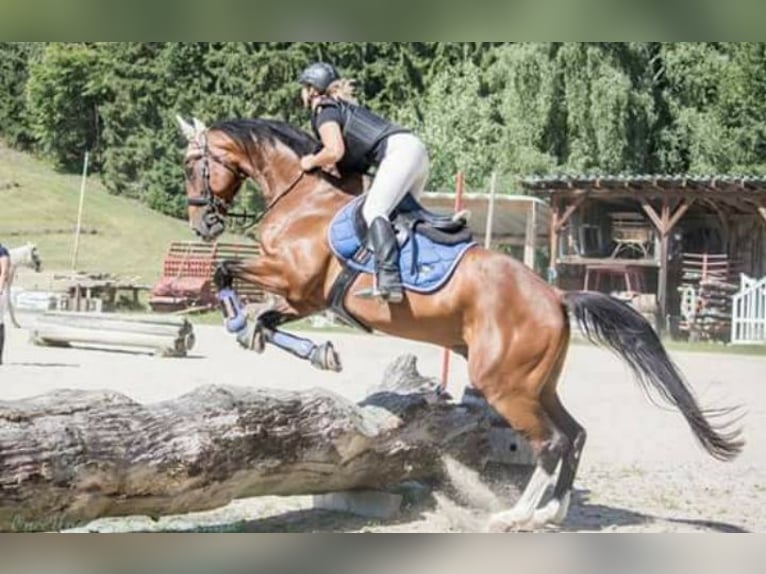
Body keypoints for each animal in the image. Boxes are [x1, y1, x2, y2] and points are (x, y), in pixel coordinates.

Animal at [178, 115, 744, 532]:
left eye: (190, 165)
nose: (202, 224)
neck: (304, 202)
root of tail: (556, 296)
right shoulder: (304, 297)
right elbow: (266, 313)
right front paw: (305, 347)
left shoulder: (295, 281)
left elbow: (226, 272)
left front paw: (240, 324)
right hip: (533, 382)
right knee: (575, 433)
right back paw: (550, 511)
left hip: (504, 384)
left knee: (552, 443)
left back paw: (513, 515)